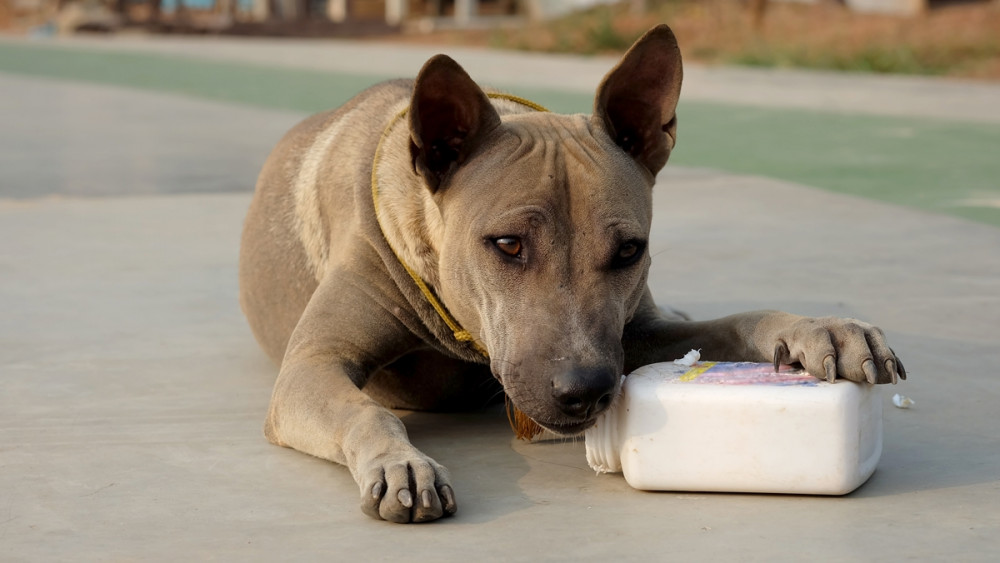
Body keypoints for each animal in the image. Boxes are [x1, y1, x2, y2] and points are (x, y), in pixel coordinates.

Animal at [238, 24, 904, 528]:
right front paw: (400, 462)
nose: (585, 390)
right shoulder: (312, 365)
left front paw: (819, 327)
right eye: (506, 245)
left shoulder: (631, 334)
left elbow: (736, 321)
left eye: (630, 250)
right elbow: (367, 411)